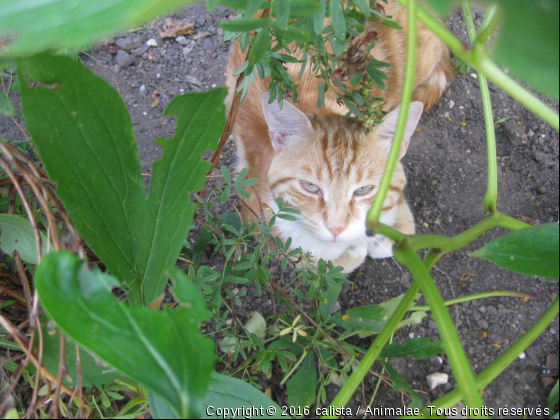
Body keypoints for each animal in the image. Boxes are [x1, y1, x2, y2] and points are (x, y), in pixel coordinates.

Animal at [223, 0, 450, 272]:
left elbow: (399, 222)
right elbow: (320, 260)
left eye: (364, 190)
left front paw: (376, 240)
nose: (336, 228)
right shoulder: (258, 217)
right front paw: (357, 249)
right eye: (310, 187)